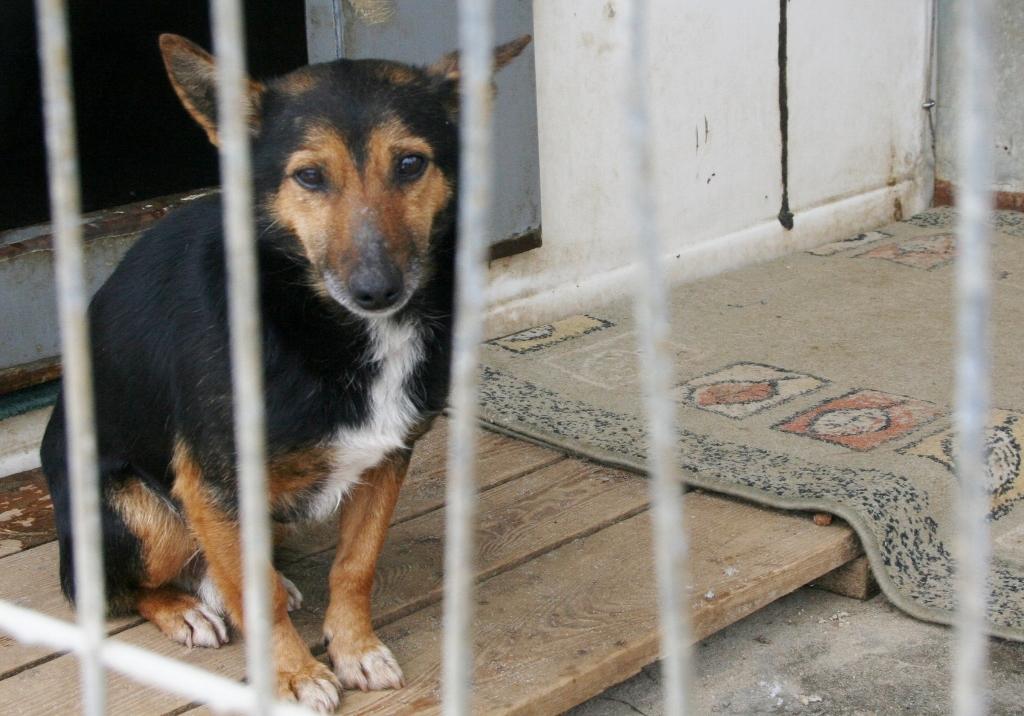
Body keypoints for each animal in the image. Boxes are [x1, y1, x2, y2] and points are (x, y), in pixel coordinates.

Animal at [40, 32, 530, 711]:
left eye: (410, 165)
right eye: (309, 176)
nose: (377, 291)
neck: (326, 326)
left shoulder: (387, 456)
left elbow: (355, 564)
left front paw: (354, 649)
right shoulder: (214, 482)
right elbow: (259, 595)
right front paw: (294, 675)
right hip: (140, 514)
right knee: (117, 589)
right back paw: (186, 609)